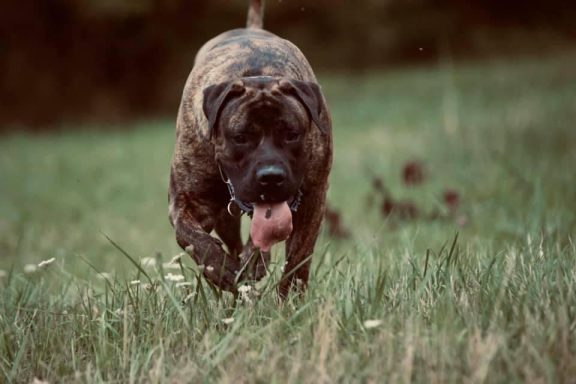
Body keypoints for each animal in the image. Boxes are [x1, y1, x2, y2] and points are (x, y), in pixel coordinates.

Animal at [169, 0, 330, 296]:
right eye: (240, 136)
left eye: (292, 134)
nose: (271, 176)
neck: (256, 76)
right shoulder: (187, 201)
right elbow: (190, 237)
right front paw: (221, 269)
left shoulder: (313, 197)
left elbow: (297, 256)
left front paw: (287, 293)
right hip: (224, 217)